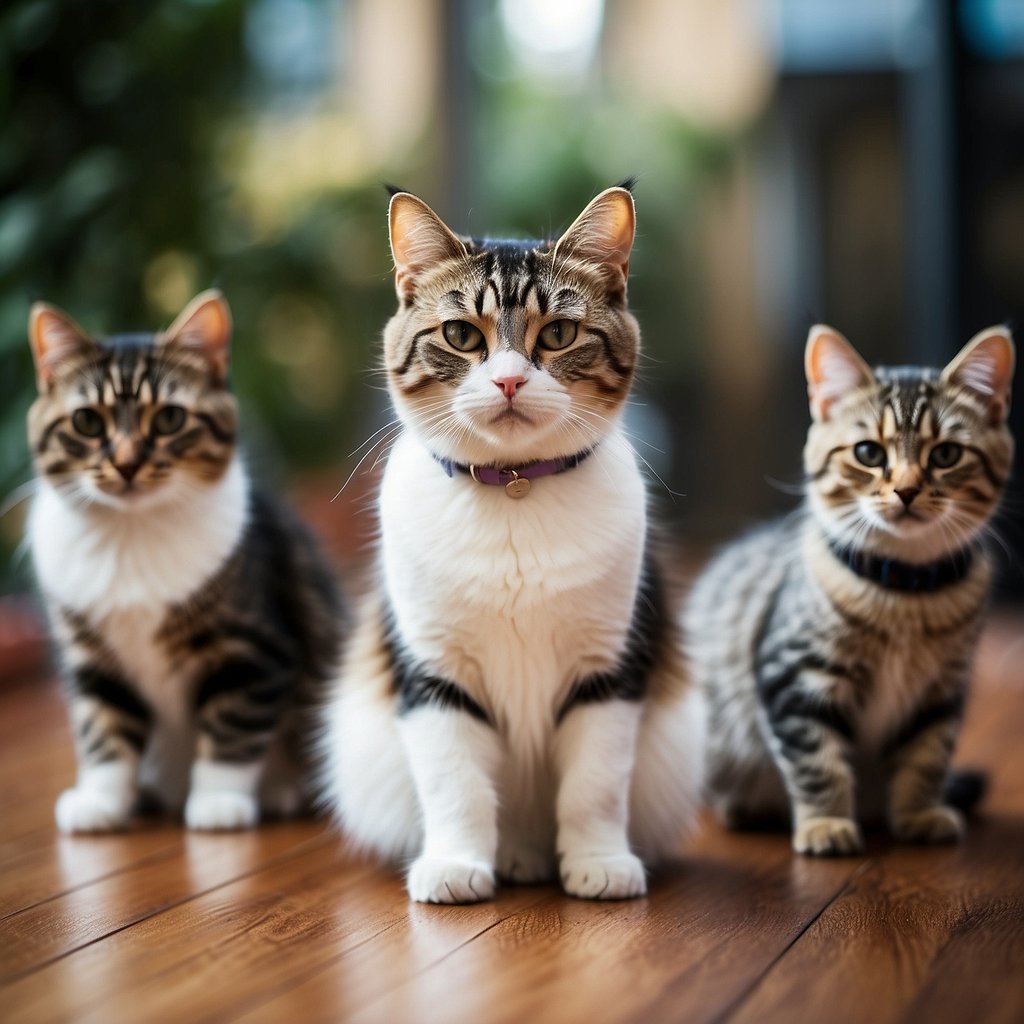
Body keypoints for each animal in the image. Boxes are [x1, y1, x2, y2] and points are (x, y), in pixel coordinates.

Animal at [25, 290, 339, 831]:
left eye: (169, 418)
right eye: (87, 421)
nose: (126, 463)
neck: (130, 537)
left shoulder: (254, 651)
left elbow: (232, 729)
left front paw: (219, 802)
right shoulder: (91, 661)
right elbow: (102, 730)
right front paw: (99, 802)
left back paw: (281, 791)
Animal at [319, 184, 704, 905]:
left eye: (558, 334)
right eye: (461, 335)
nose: (508, 381)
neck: (515, 489)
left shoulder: (608, 665)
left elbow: (595, 782)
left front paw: (600, 864)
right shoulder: (434, 670)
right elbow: (455, 782)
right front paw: (454, 866)